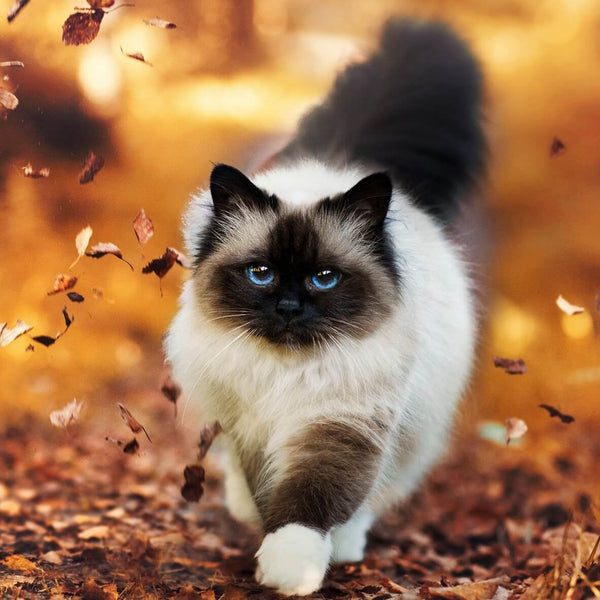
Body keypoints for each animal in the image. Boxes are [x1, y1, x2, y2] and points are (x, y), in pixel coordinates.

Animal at [166, 17, 486, 596]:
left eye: (324, 278)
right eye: (261, 274)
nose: (290, 307)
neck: (287, 375)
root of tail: (339, 163)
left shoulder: (340, 424)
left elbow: (309, 504)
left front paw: (292, 570)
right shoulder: (251, 428)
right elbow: (268, 496)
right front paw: (271, 553)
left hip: (411, 432)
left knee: (371, 498)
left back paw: (346, 547)